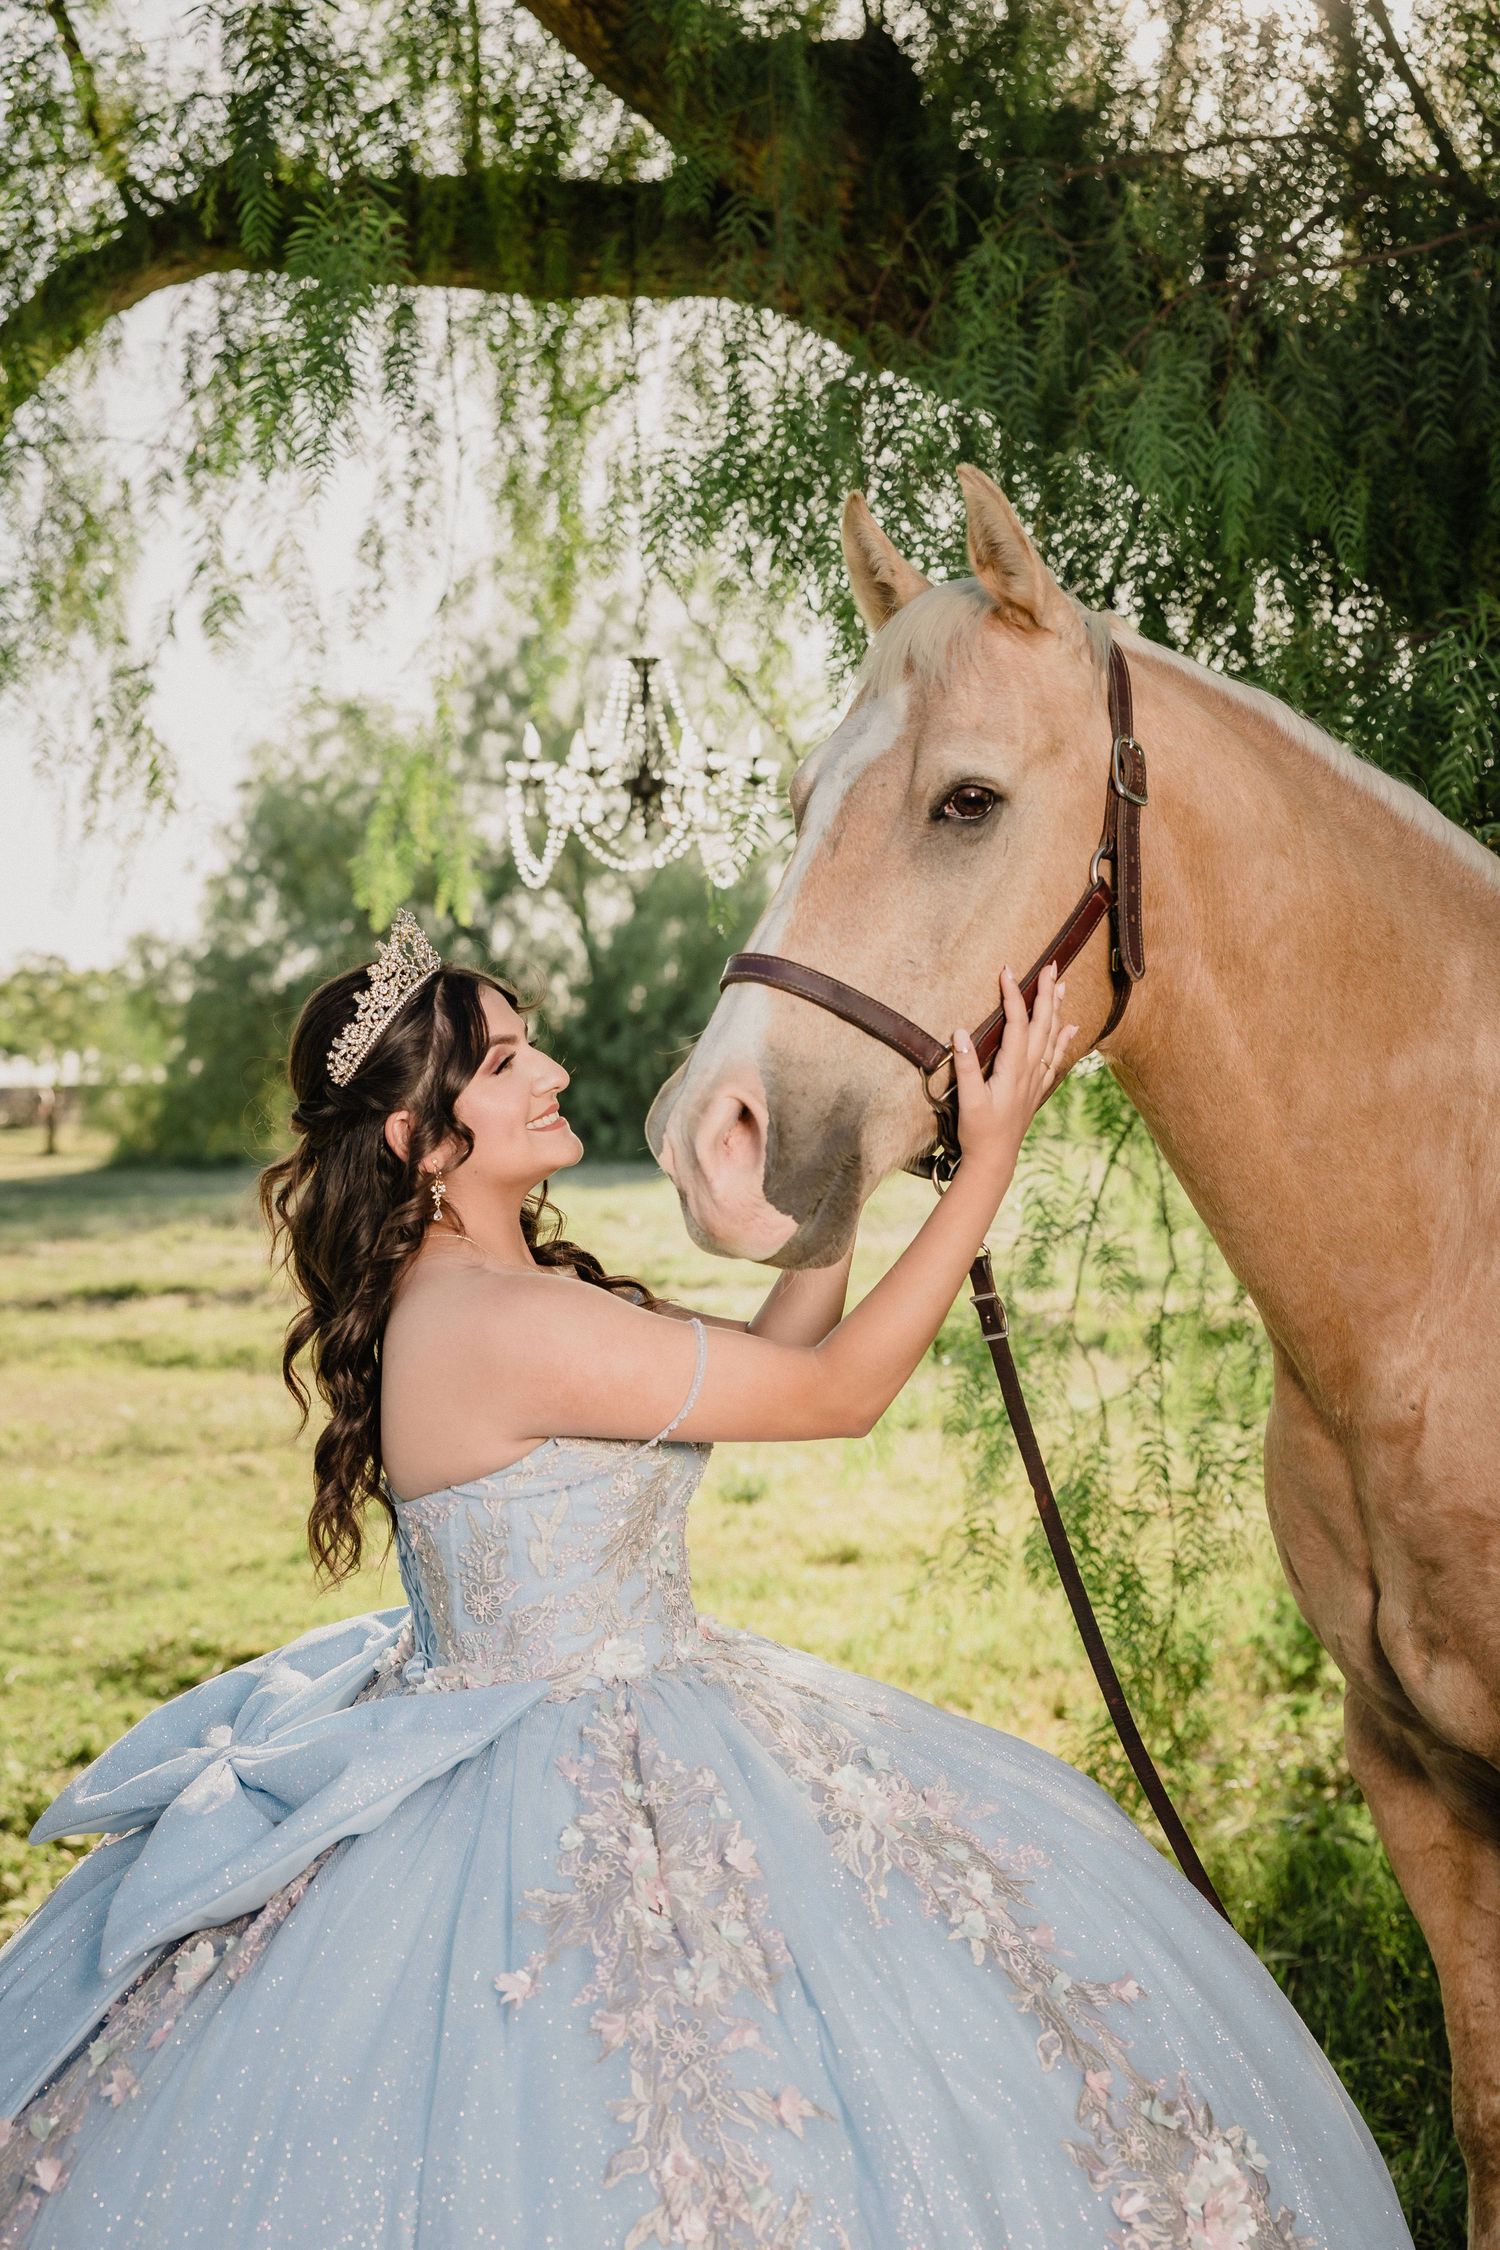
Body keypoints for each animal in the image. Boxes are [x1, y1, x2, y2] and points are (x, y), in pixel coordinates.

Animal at [644, 464, 1500, 2245]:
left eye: (966, 801)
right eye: (799, 794)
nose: (712, 1141)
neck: (1450, 1272)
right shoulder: (1414, 1778)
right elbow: (1489, 2114)